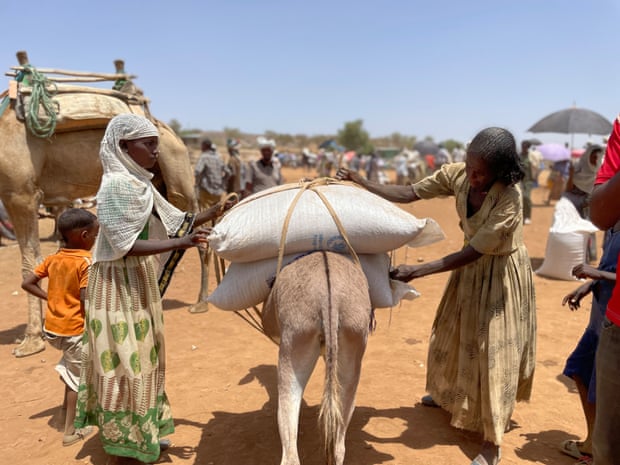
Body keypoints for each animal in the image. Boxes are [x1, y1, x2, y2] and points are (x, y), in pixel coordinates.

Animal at [0, 103, 211, 358]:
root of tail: (171, 132)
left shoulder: (21, 193)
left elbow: (29, 261)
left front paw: (31, 340)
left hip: (176, 169)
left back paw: (200, 303)